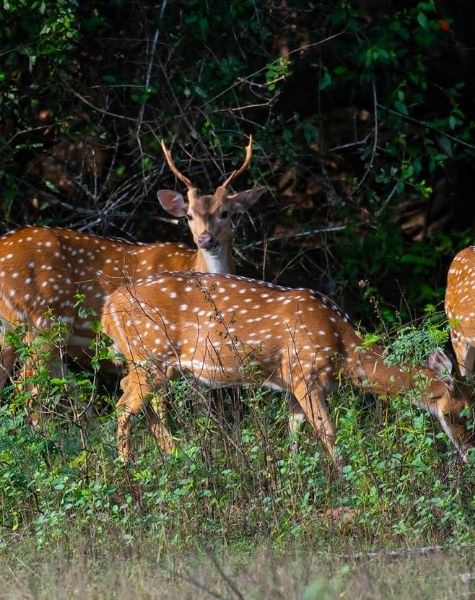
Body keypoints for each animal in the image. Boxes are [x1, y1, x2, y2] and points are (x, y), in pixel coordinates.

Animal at [0, 137, 266, 390]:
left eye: (226, 213)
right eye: (189, 215)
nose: (205, 239)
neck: (190, 266)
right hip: (45, 318)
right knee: (30, 382)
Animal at [101, 272, 475, 464]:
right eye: (464, 412)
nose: (469, 451)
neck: (342, 348)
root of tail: (107, 309)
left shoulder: (291, 382)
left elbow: (294, 430)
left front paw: (292, 476)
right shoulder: (304, 372)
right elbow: (327, 429)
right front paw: (343, 475)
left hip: (152, 363)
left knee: (133, 397)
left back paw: (177, 458)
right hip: (149, 355)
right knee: (124, 406)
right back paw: (128, 470)